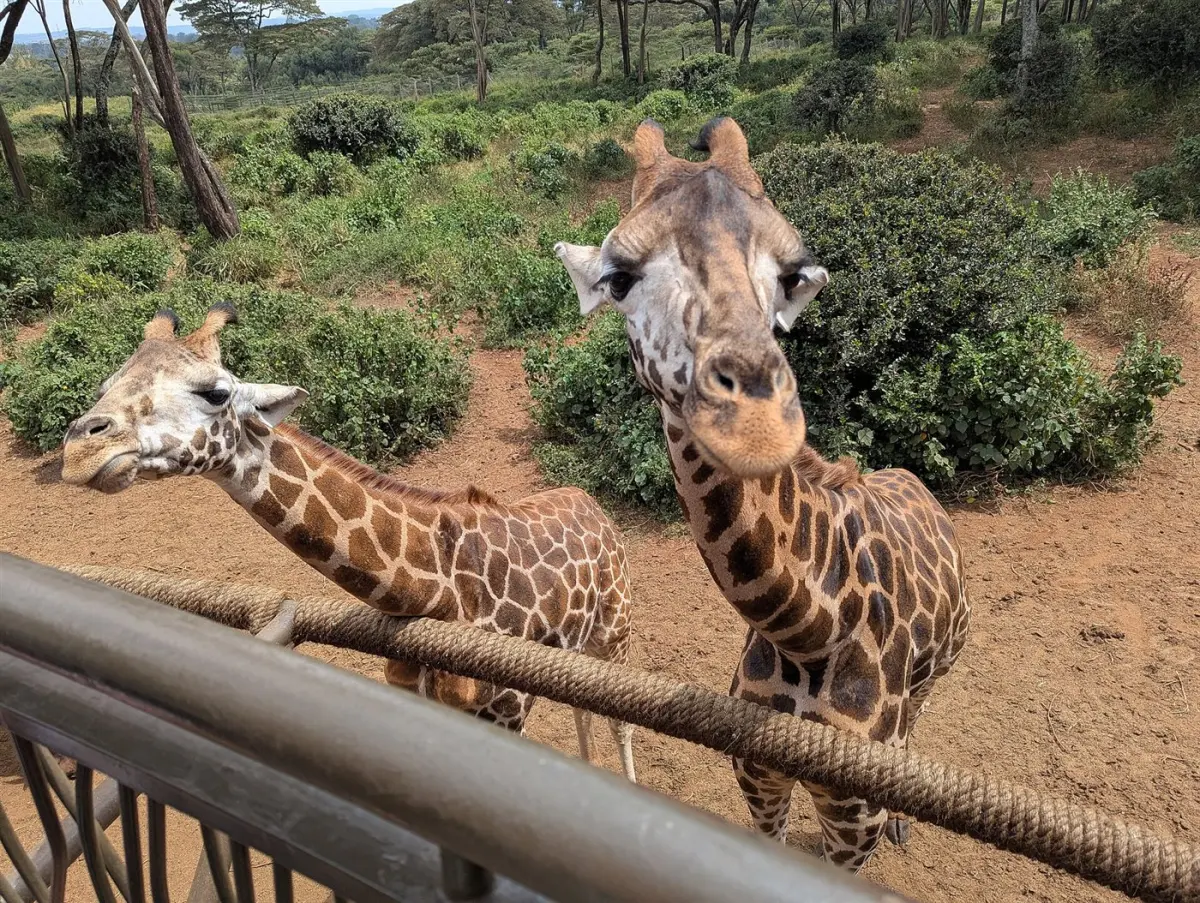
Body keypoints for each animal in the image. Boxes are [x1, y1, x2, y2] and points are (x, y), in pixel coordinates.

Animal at [59, 303, 636, 781]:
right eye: (107, 383)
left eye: (216, 392)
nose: (79, 452)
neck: (438, 593)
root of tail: (593, 504)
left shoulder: (509, 707)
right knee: (587, 709)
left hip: (615, 633)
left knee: (618, 721)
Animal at [554, 117, 971, 870]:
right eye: (618, 279)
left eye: (791, 276)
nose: (755, 422)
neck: (809, 630)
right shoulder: (757, 775)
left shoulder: (851, 817)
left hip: (942, 664)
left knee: (917, 719)